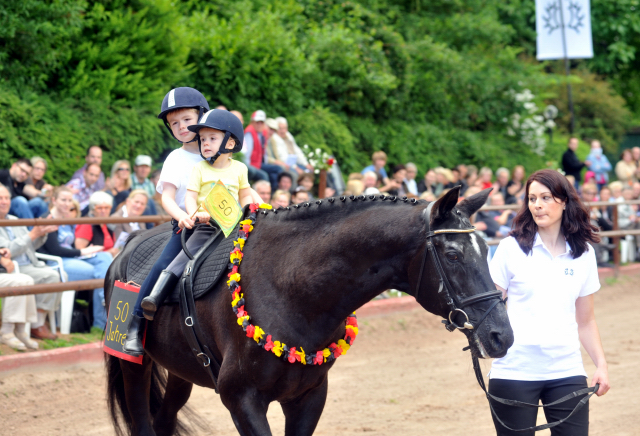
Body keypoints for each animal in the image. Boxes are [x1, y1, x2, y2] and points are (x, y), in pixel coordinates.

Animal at [105, 186, 516, 434]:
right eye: (453, 255)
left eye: (486, 248)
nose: (501, 335)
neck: (291, 288)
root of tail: (129, 245)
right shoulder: (242, 400)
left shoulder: (308, 397)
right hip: (135, 367)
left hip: (181, 371)